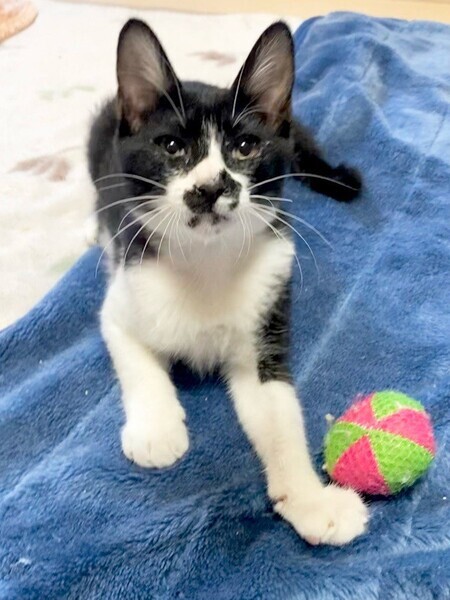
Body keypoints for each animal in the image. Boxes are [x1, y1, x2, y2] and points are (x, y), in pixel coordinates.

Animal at [88, 18, 368, 546]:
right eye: (171, 147)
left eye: (245, 147)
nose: (211, 187)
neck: (207, 261)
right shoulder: (126, 295)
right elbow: (134, 359)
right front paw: (157, 430)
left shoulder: (267, 309)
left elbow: (280, 416)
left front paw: (312, 500)